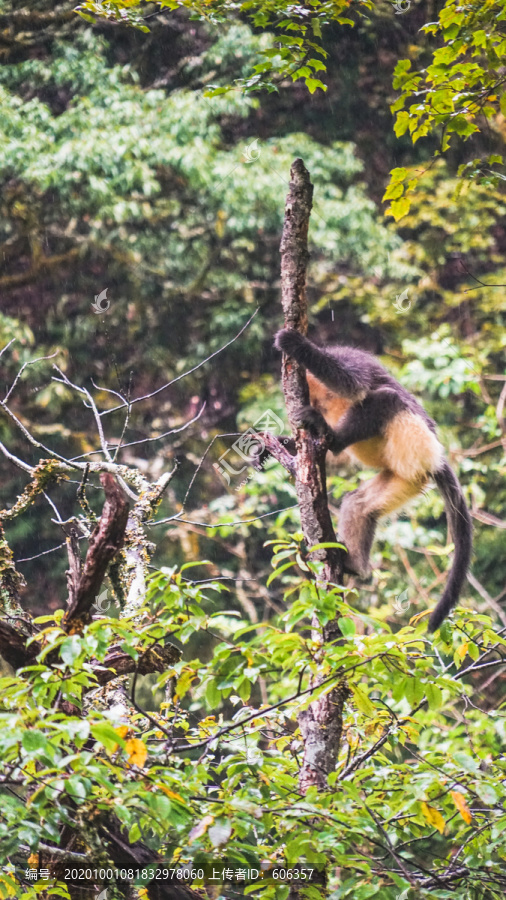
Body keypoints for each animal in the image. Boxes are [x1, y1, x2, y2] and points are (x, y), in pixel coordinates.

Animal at [274, 326, 472, 632]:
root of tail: (437, 456)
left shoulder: (349, 358)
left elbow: (353, 384)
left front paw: (296, 344)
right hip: (405, 474)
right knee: (359, 504)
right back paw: (354, 564)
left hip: (415, 444)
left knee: (387, 398)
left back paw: (333, 436)